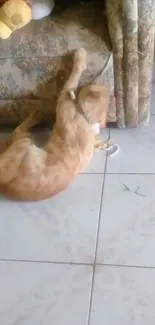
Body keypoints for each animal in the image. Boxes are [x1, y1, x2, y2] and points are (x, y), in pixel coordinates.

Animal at [0, 48, 108, 200]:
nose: (97, 80)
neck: (87, 120)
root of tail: (3, 184)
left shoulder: (63, 100)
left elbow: (72, 78)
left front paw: (79, 56)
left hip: (23, 143)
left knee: (16, 132)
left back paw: (35, 116)